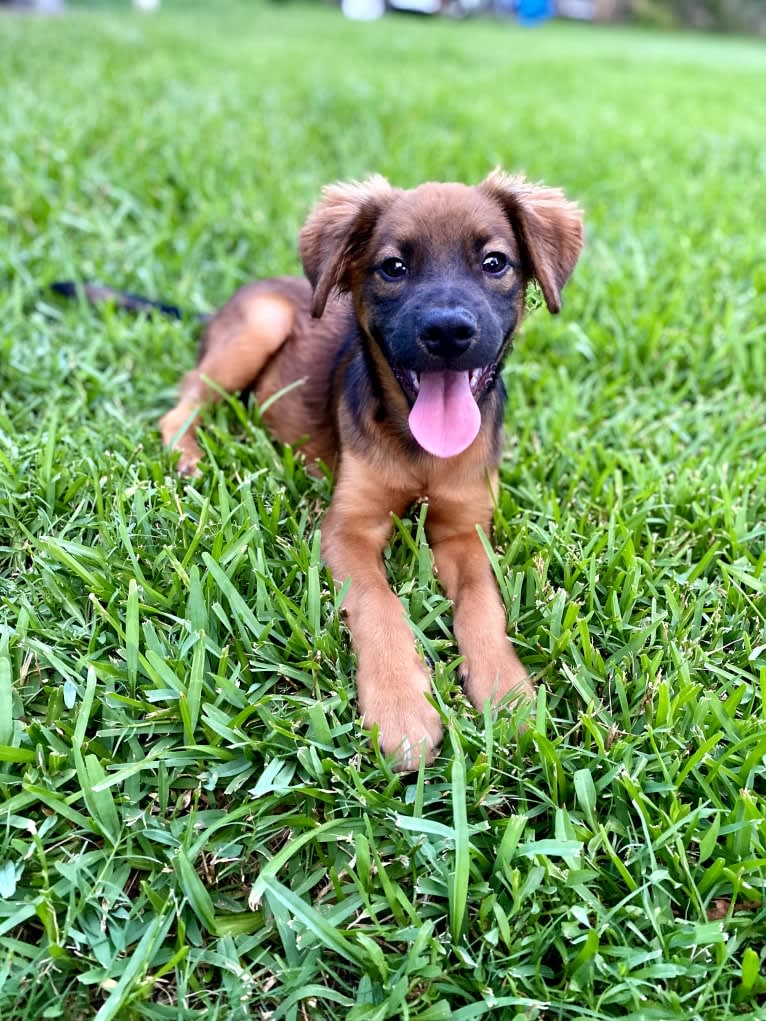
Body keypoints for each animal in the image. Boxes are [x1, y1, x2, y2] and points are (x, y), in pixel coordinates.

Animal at [159, 171, 584, 767]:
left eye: (495, 262)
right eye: (393, 267)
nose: (448, 332)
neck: (419, 447)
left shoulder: (465, 531)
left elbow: (485, 605)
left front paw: (510, 695)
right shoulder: (348, 527)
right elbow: (377, 604)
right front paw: (401, 706)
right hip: (260, 325)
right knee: (182, 405)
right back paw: (190, 458)